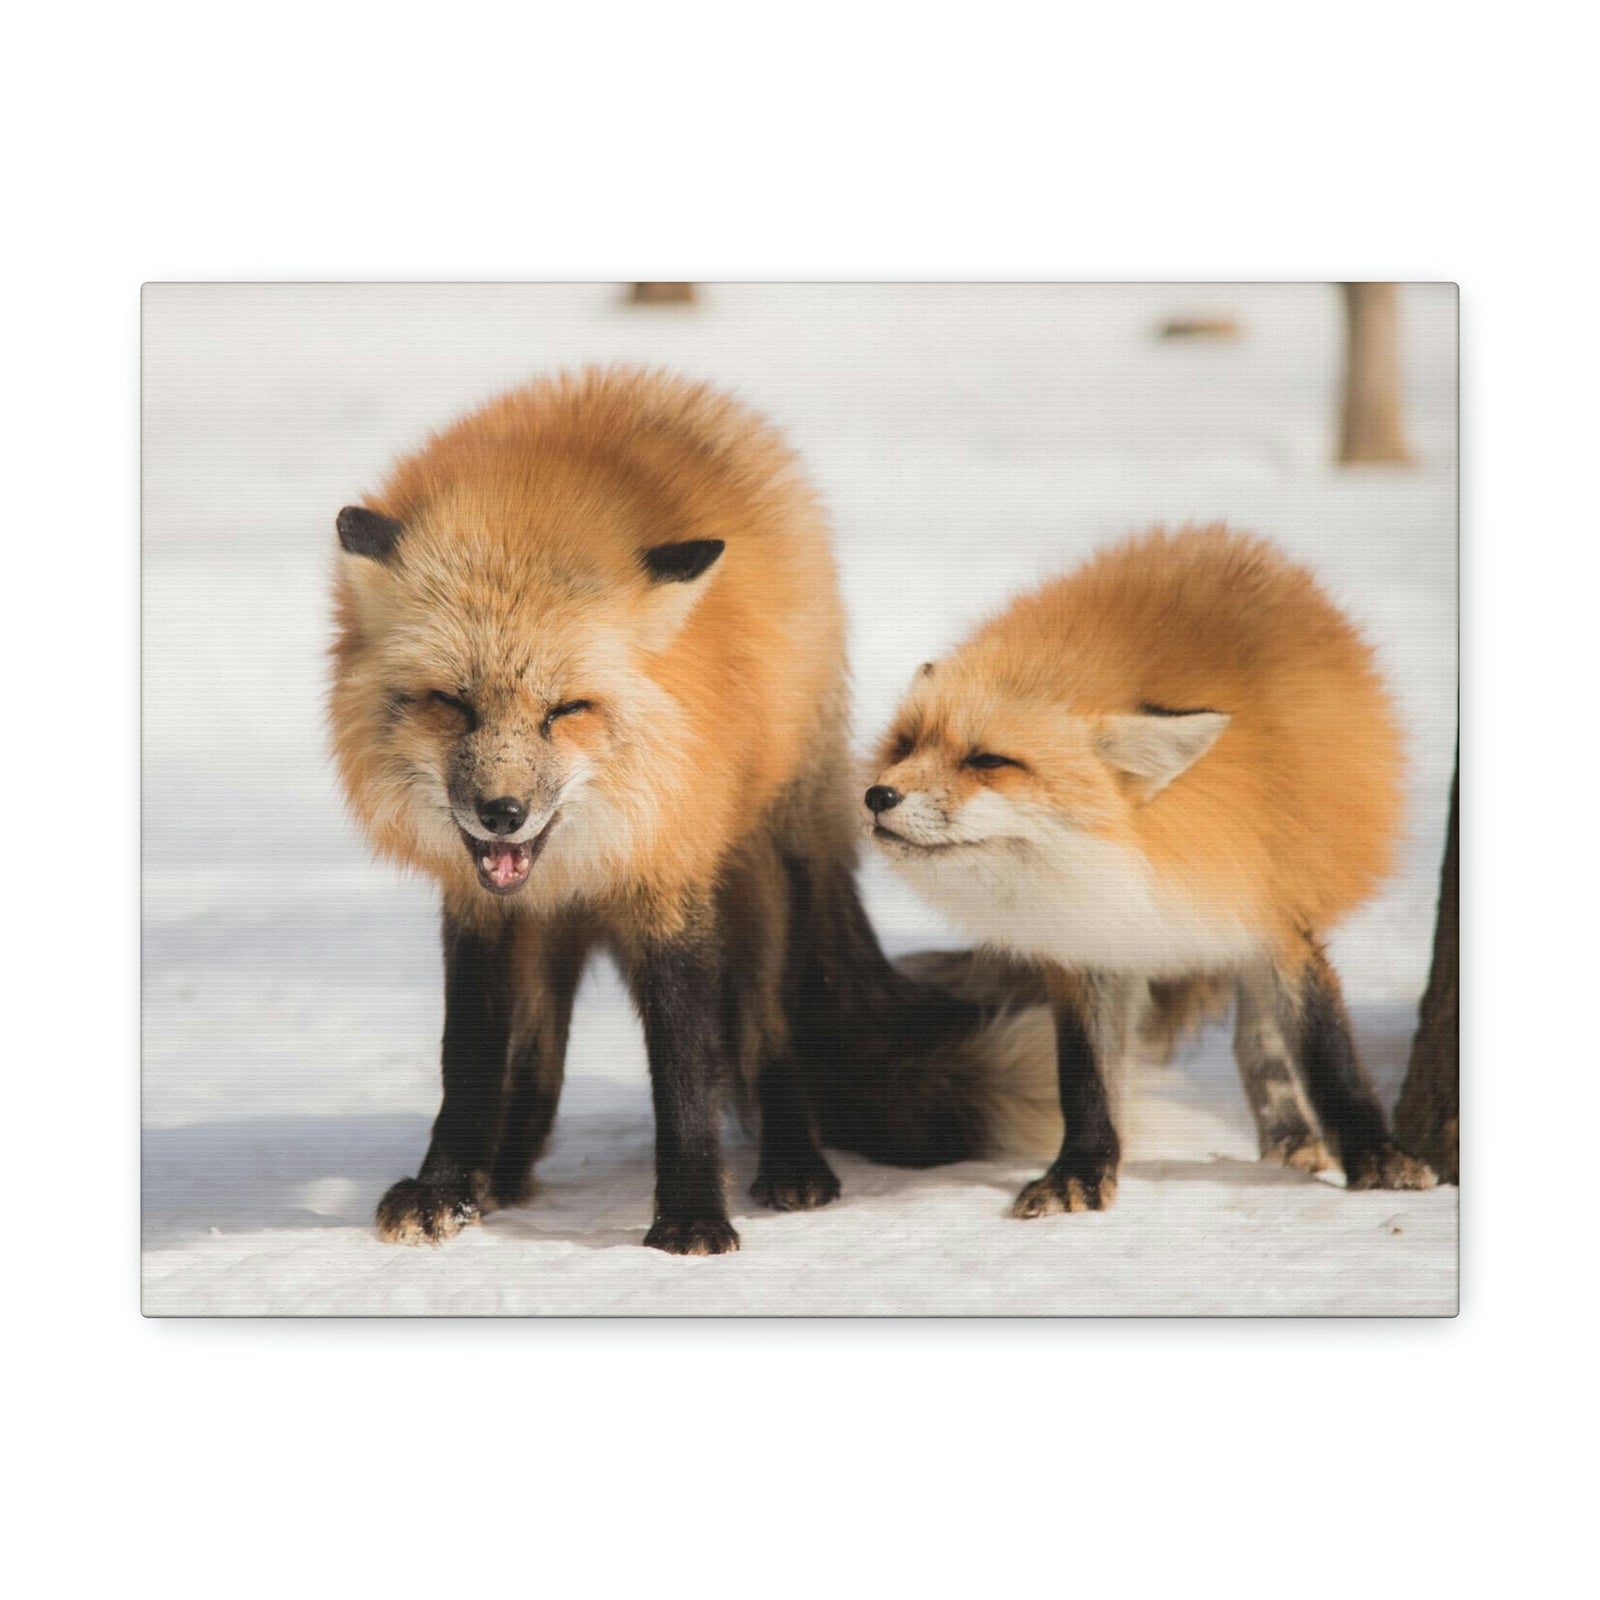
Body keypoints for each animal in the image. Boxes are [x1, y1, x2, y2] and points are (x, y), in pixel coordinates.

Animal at [328, 368, 1054, 1255]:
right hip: (557, 932)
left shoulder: (671, 880)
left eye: (566, 710)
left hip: (759, 886)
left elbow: (686, 1067)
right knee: (538, 1061)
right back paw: (503, 1174)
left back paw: (794, 1165)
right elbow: (467, 1059)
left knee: (771, 1036)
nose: (502, 812)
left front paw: (692, 1216)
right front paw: (446, 1190)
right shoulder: (481, 909)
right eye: (452, 704)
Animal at [865, 525, 1437, 1218]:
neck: (1139, 864)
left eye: (988, 761)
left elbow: (1327, 1055)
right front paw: (1081, 1172)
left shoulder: (1275, 911)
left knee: (1259, 1042)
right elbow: (1085, 1079)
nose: (877, 796)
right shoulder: (1088, 949)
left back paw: (1291, 1135)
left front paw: (1377, 1155)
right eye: (905, 746)